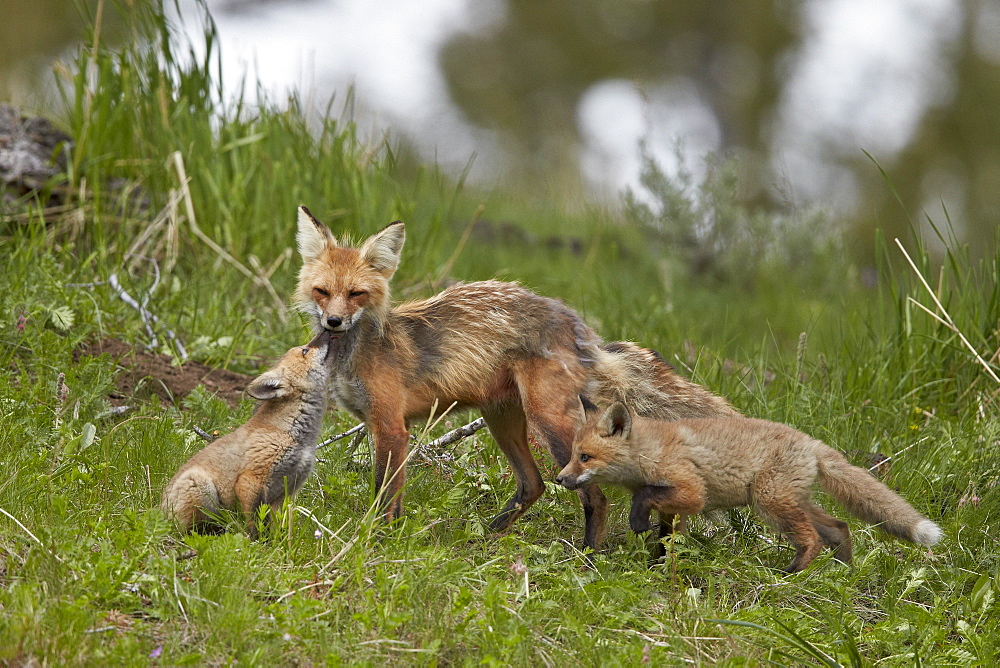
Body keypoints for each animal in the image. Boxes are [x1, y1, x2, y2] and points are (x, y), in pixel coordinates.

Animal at [160, 332, 332, 536]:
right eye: (305, 351)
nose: (327, 331)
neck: (289, 431)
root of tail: (158, 511)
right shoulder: (250, 480)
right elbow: (255, 522)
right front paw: (255, 541)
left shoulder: (286, 491)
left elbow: (277, 525)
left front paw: (279, 542)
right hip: (200, 487)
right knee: (190, 530)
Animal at [292, 207, 740, 548]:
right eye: (322, 291)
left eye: (356, 294)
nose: (333, 322)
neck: (360, 349)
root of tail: (581, 328)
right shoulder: (381, 427)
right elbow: (388, 496)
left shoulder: (391, 427)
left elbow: (386, 497)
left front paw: (380, 540)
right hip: (501, 418)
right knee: (534, 484)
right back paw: (485, 540)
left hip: (550, 422)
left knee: (594, 495)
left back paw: (588, 559)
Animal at [552, 400, 940, 572]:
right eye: (572, 456)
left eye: (585, 457)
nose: (560, 479)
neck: (651, 450)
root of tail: (811, 442)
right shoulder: (674, 509)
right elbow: (664, 540)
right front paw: (657, 567)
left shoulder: (691, 491)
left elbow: (648, 500)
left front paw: (637, 524)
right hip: (788, 501)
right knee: (839, 527)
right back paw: (841, 573)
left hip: (770, 501)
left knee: (813, 538)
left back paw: (792, 574)